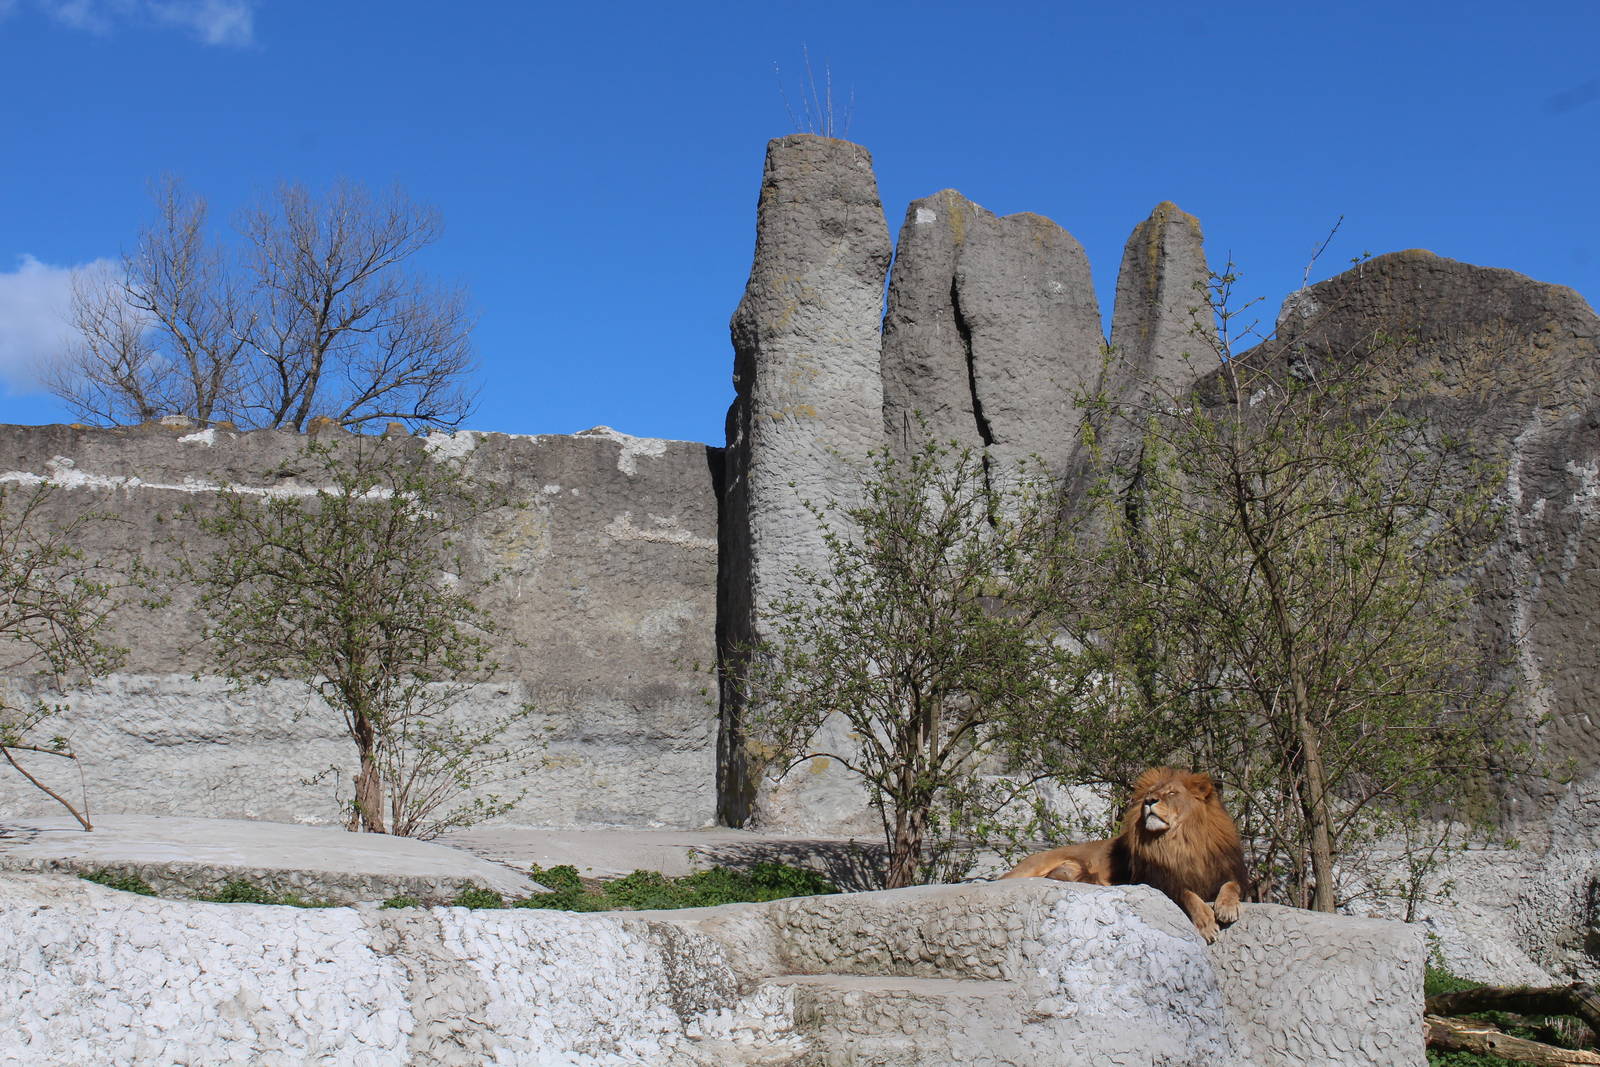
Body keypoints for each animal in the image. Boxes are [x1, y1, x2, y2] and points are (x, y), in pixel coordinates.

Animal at [999, 767, 1249, 943]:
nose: (1149, 801)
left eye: (1172, 793)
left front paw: (1226, 908)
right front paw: (1206, 924)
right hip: (1032, 866)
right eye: (1150, 794)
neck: (1179, 842)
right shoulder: (1159, 881)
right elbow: (1188, 896)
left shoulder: (1225, 873)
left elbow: (1231, 885)